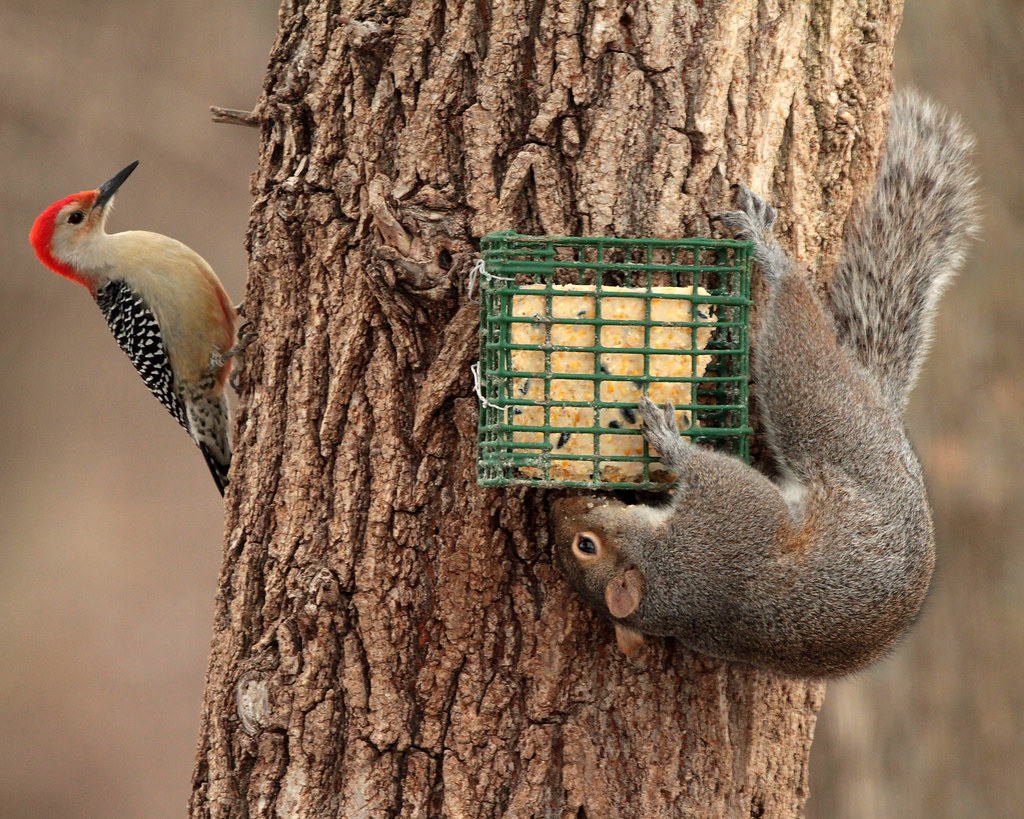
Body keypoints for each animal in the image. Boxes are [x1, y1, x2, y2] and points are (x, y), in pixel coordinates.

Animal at [552, 89, 979, 677]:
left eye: (584, 546)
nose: (559, 507)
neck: (671, 583)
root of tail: (886, 420)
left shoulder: (723, 522)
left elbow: (713, 473)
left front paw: (665, 438)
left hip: (831, 419)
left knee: (796, 319)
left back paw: (768, 252)